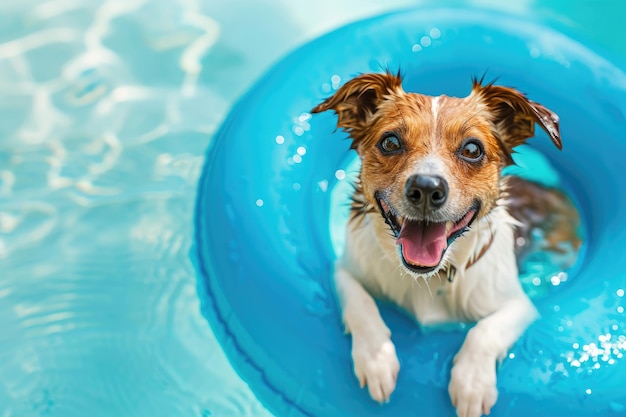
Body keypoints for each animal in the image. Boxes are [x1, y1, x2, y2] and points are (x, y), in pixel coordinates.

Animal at [310, 72, 576, 416]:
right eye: (390, 142)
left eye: (472, 149)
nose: (426, 188)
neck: (428, 276)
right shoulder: (346, 268)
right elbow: (359, 302)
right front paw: (376, 359)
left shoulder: (518, 305)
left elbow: (484, 332)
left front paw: (472, 382)